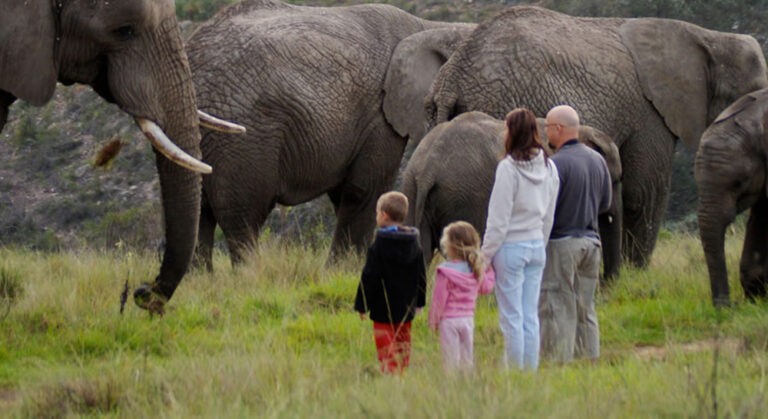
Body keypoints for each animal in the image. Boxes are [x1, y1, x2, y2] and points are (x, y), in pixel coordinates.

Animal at [186, 0, 475, 269]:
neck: (430, 27)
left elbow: (347, 192)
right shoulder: (378, 116)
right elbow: (364, 189)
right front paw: (348, 268)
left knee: (199, 215)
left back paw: (201, 279)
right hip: (245, 133)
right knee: (243, 216)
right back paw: (249, 276)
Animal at [402, 111, 623, 281]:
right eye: (615, 180)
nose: (608, 283)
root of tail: (429, 166)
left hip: (413, 188)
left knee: (423, 252)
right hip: (466, 195)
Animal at [421, 6, 768, 270]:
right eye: (750, 96)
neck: (706, 37)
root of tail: (453, 78)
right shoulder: (649, 111)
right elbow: (644, 192)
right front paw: (636, 274)